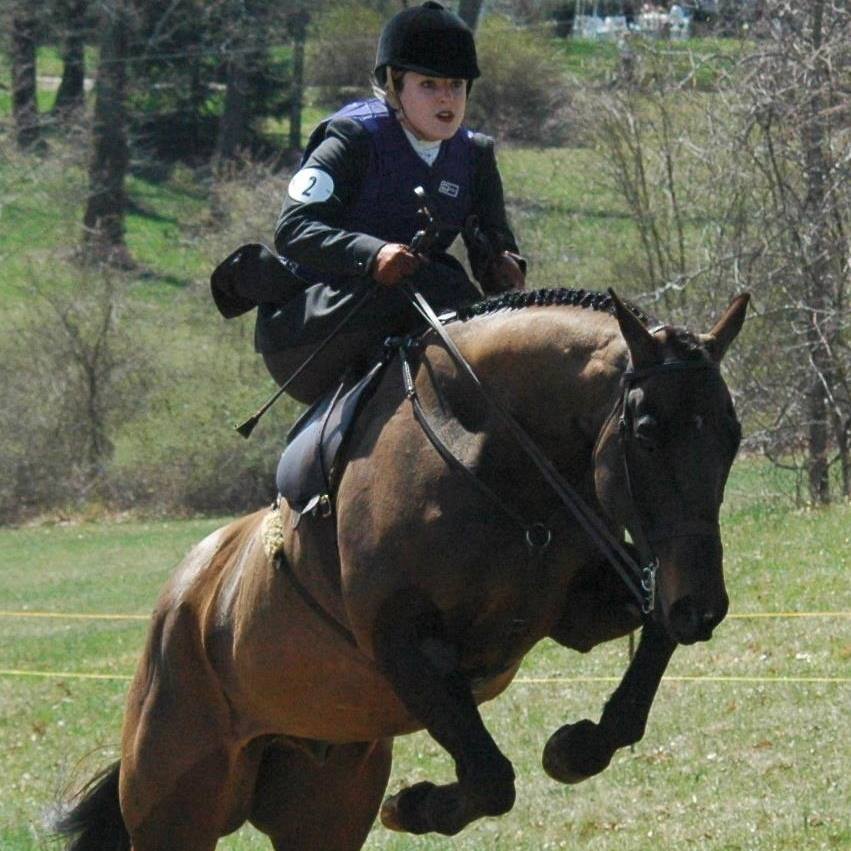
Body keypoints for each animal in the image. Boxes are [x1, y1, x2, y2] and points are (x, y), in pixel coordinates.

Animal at [60, 290, 748, 848]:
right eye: (647, 432)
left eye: (732, 436)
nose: (705, 607)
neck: (498, 463)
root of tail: (180, 600)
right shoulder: (402, 643)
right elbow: (492, 779)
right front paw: (415, 806)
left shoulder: (579, 611)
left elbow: (651, 644)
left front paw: (576, 748)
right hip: (175, 809)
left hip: (322, 805)